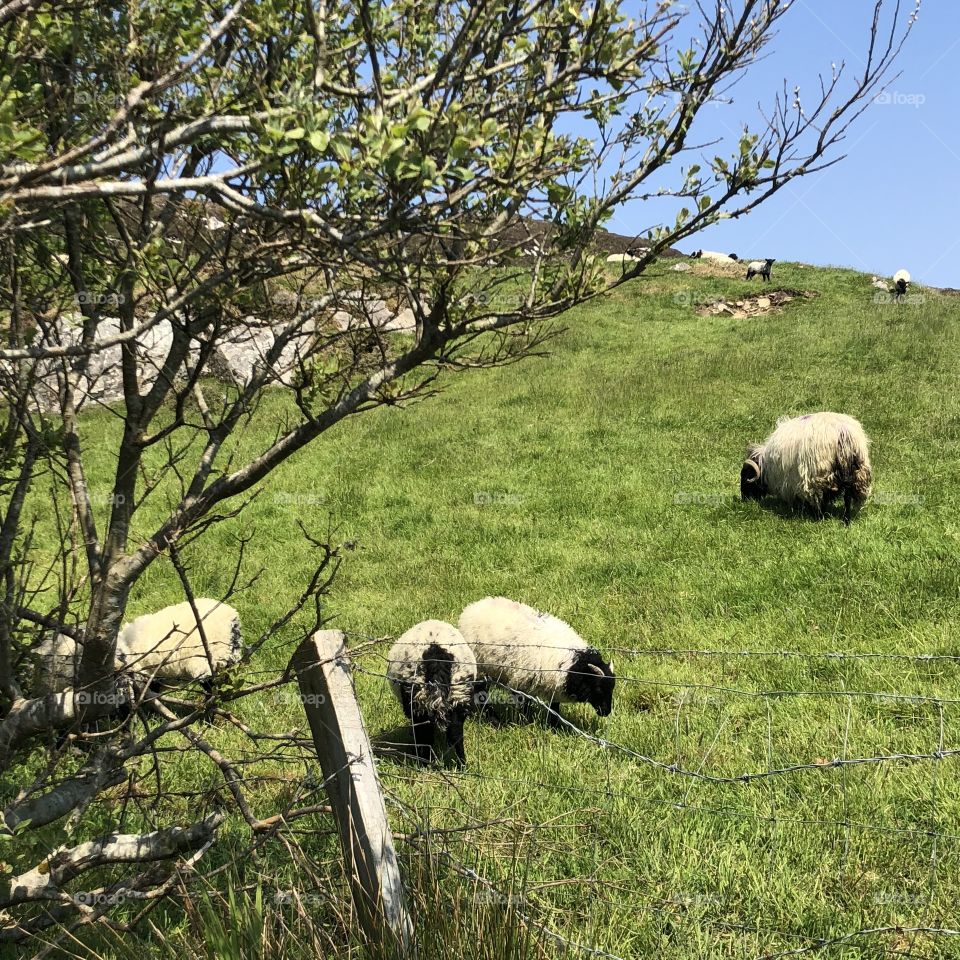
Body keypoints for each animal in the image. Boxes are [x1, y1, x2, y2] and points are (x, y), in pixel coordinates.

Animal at [386, 620, 477, 766]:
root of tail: (436, 654)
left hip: (417, 696)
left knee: (424, 734)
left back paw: (423, 762)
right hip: (460, 691)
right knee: (456, 733)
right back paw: (461, 764)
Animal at [458, 597, 615, 727]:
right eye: (598, 688)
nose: (606, 712)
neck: (573, 665)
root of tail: (472, 607)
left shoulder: (553, 684)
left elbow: (554, 707)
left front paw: (554, 727)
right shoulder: (522, 680)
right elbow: (524, 703)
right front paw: (526, 721)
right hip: (479, 666)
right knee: (481, 692)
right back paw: (494, 720)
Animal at [740, 412, 872, 524]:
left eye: (746, 476)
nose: (744, 499)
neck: (766, 467)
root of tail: (844, 432)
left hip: (819, 474)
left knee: (821, 496)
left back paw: (819, 517)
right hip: (857, 474)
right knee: (847, 497)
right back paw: (846, 520)